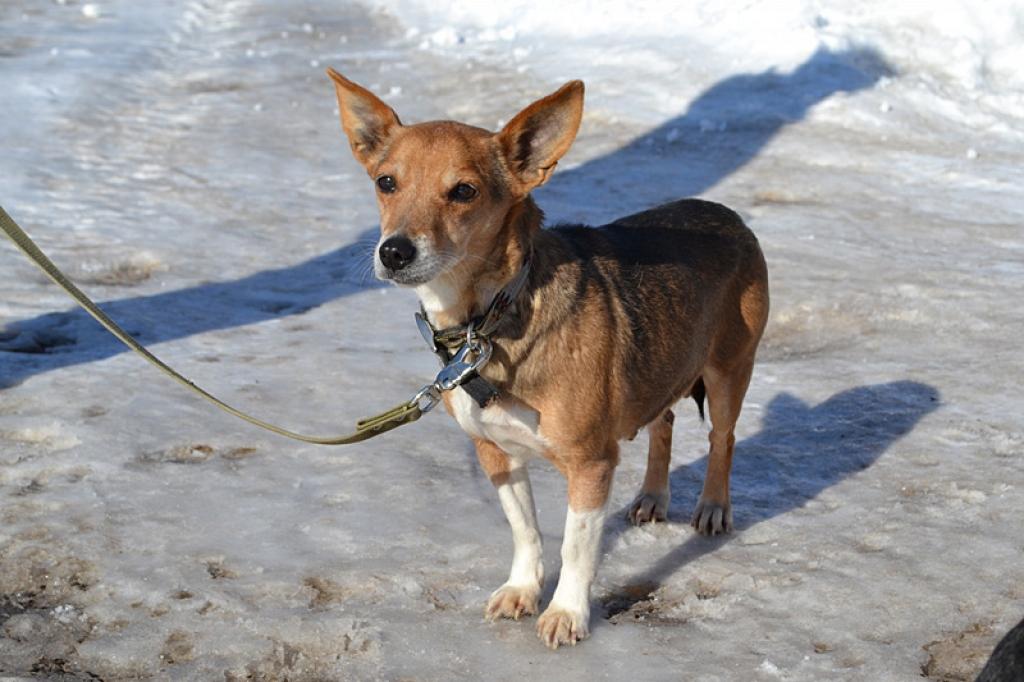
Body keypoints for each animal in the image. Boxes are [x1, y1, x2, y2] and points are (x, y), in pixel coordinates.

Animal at [327, 70, 770, 647]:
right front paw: (522, 589)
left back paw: (713, 508)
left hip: (728, 372)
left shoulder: (590, 464)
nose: (394, 251)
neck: (489, 319)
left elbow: (577, 548)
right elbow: (527, 531)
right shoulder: (495, 454)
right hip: (664, 364)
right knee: (664, 424)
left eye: (464, 191)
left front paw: (567, 613)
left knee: (723, 438)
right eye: (386, 182)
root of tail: (725, 212)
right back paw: (653, 496)